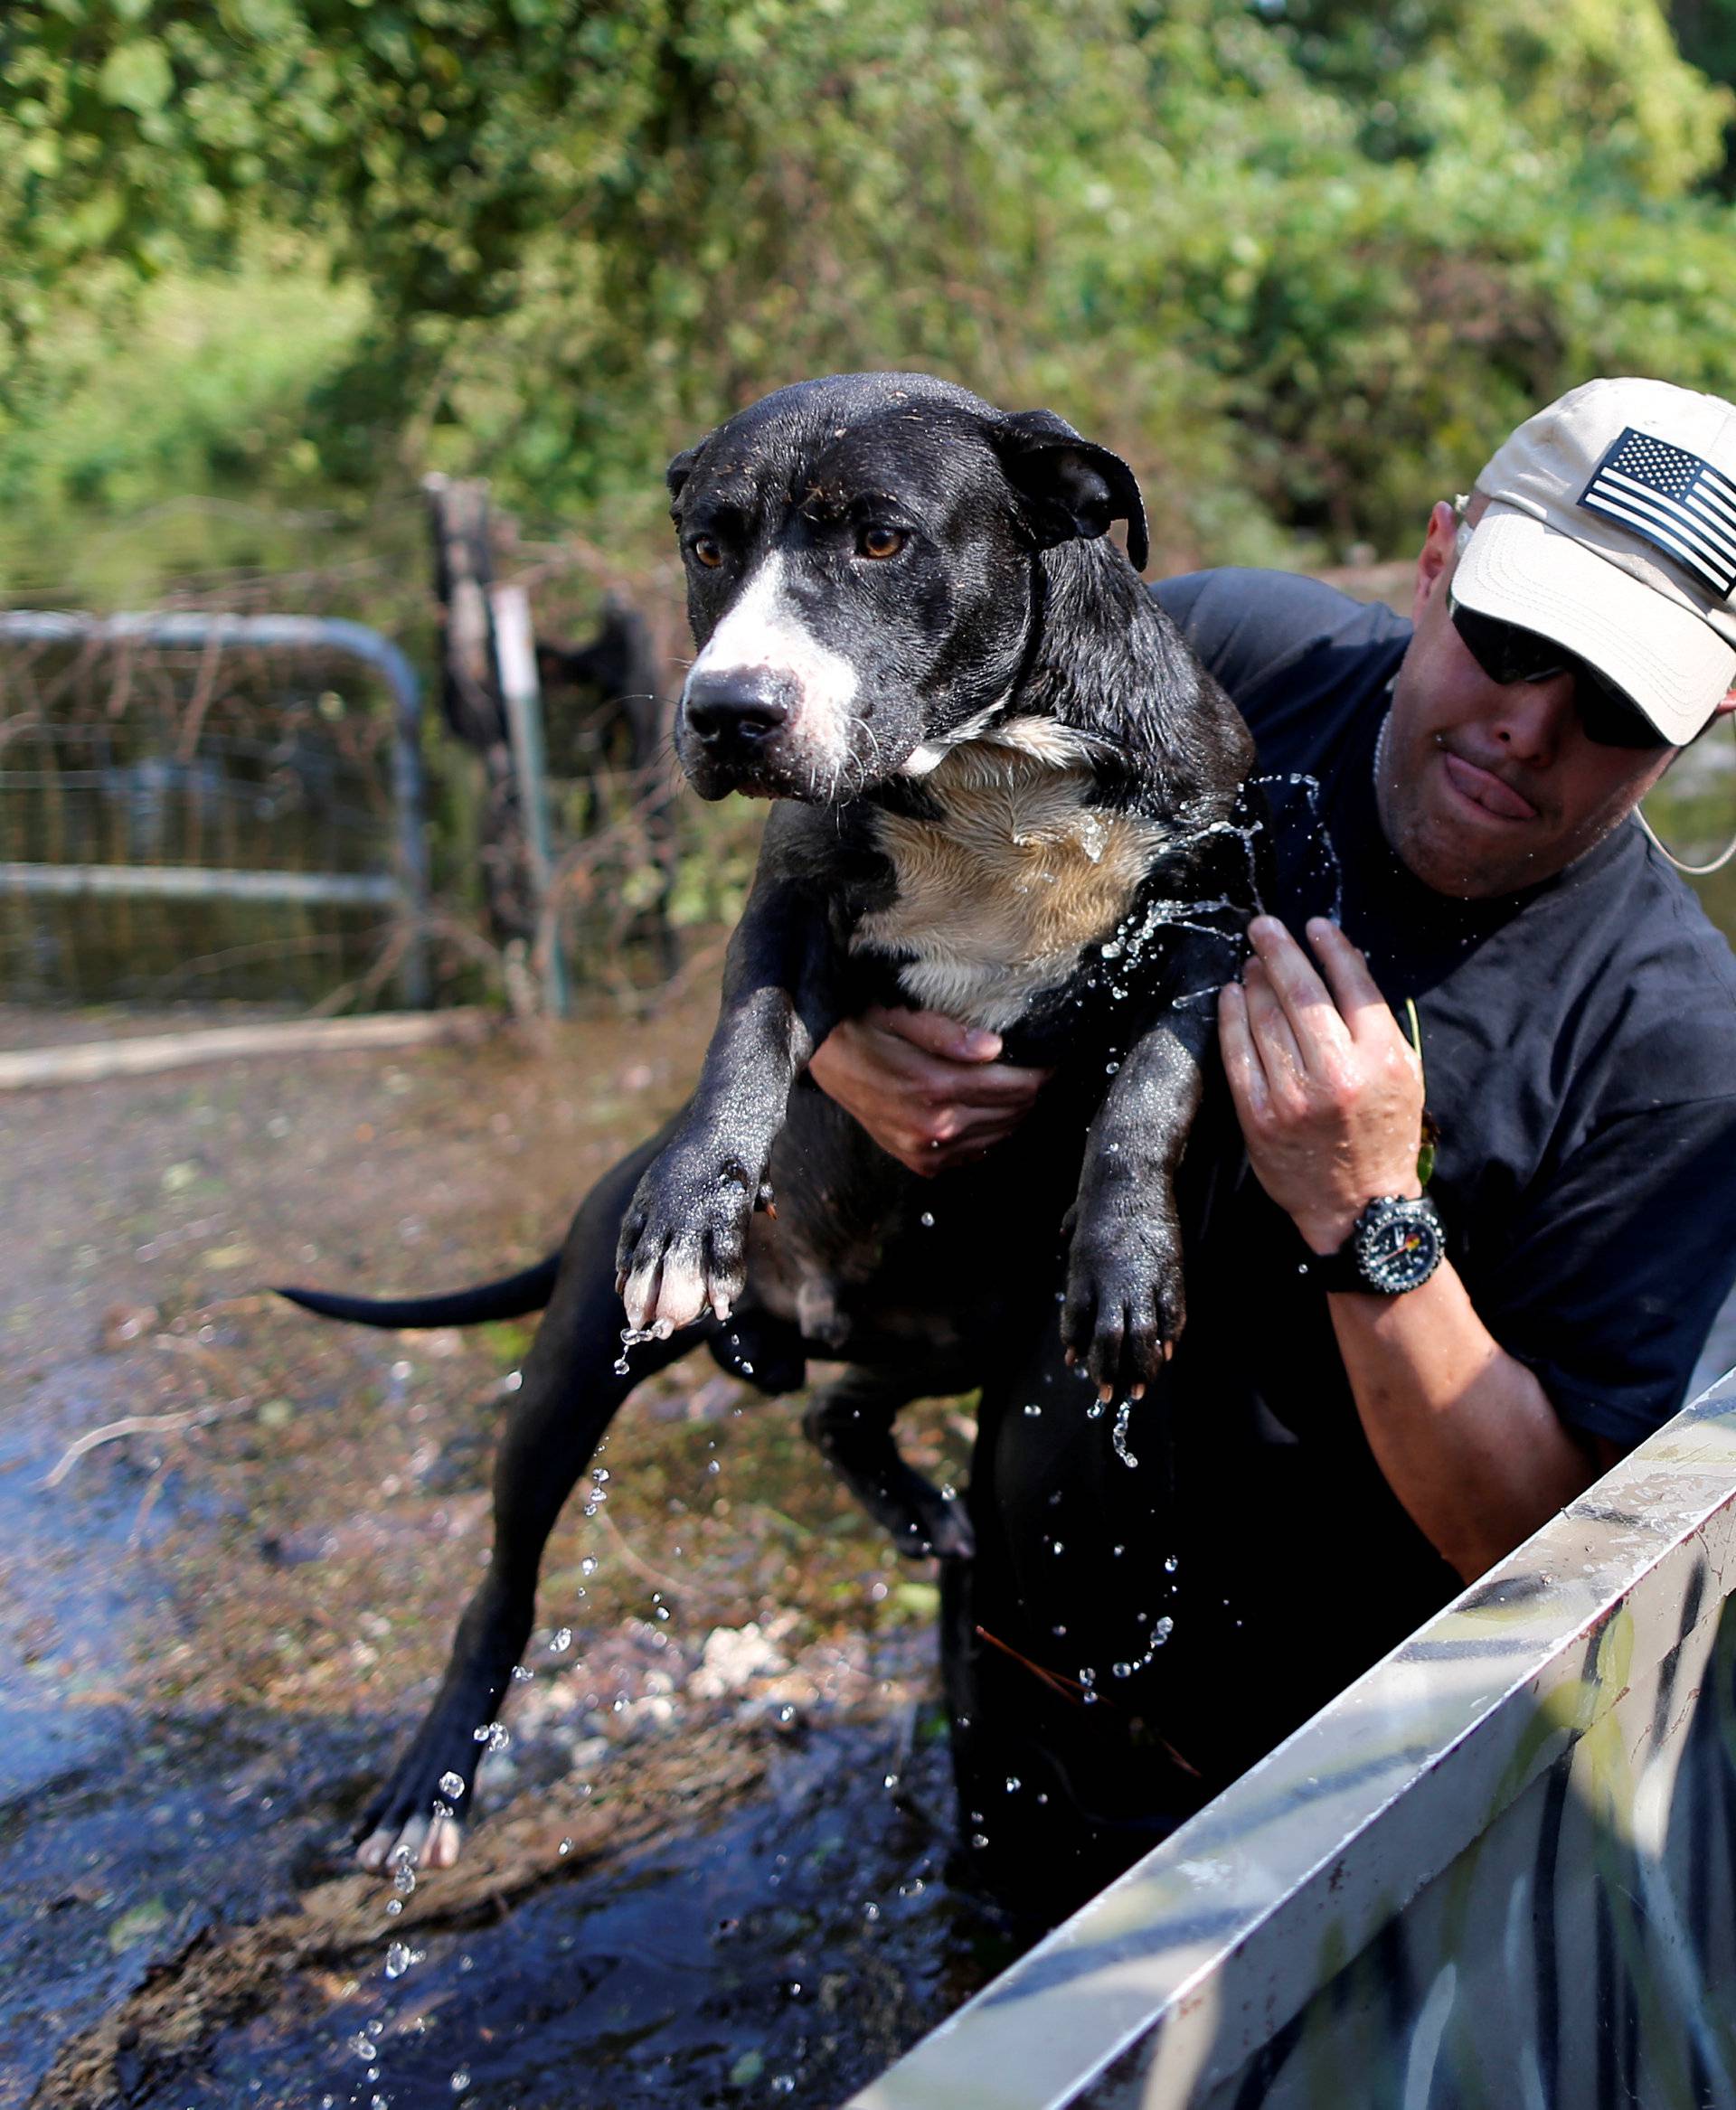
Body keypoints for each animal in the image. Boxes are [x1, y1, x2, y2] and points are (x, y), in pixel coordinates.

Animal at [284, 375, 1265, 1865]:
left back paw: (916, 1499)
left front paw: (1127, 1262)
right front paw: (696, 1200)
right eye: (707, 544)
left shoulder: (1210, 905)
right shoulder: (793, 897)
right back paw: (431, 1778)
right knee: (503, 1582)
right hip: (568, 1373)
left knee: (835, 1413)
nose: (729, 711)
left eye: (880, 538)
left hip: (966, 1319)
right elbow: (744, 1039)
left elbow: (1151, 1089)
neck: (990, 771)